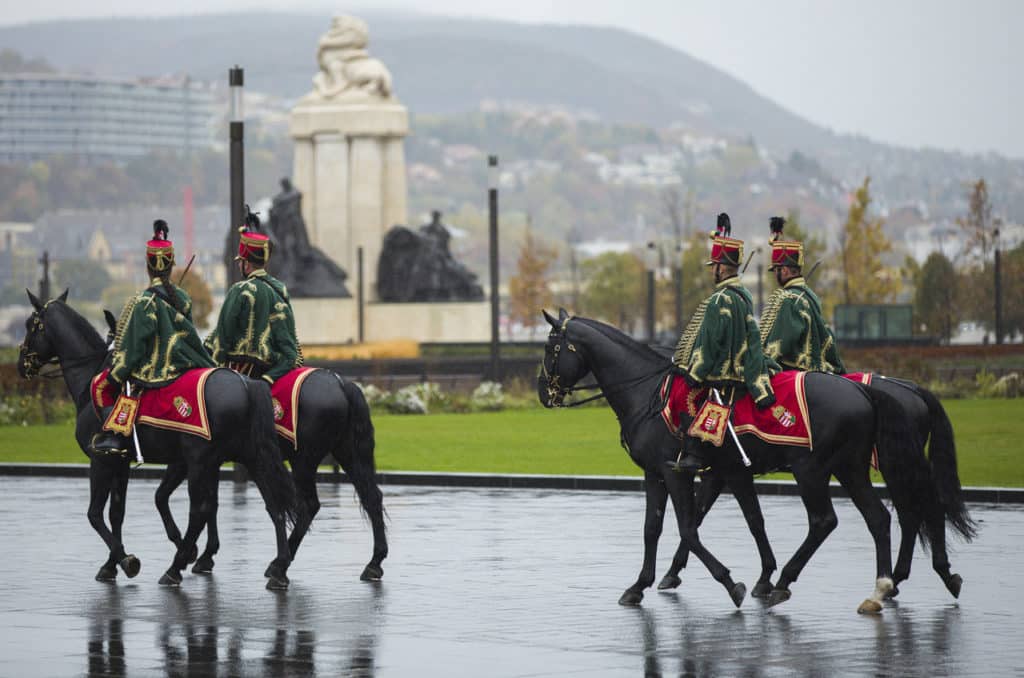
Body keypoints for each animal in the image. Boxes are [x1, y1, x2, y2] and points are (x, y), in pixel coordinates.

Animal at [18, 292, 299, 589]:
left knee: (200, 510)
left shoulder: (101, 460)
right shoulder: (122, 463)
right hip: (251, 456)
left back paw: (175, 567)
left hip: (200, 460)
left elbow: (95, 514)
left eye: (30, 324)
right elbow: (118, 513)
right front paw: (112, 563)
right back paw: (279, 568)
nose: (20, 363)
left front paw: (126, 560)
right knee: (273, 504)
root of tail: (247, 383)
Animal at [540, 311, 933, 614]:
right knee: (879, 517)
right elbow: (660, 528)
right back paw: (879, 589)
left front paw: (732, 583)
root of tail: (862, 389)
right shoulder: (677, 473)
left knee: (827, 520)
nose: (543, 393)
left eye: (549, 347)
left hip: (811, 470)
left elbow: (689, 527)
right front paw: (641, 584)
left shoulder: (677, 472)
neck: (647, 395)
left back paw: (788, 581)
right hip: (849, 468)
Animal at [655, 374, 974, 602]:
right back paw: (895, 581)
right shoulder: (719, 474)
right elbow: (698, 518)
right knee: (891, 515)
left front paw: (762, 577)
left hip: (819, 468)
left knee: (831, 520)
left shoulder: (732, 471)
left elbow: (743, 520)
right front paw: (673, 572)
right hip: (858, 467)